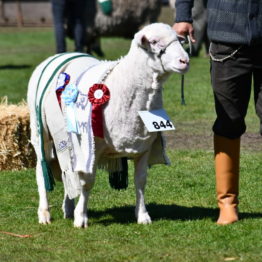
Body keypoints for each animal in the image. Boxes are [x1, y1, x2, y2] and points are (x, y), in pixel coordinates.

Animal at [27, 22, 189, 227]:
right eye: (154, 41)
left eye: (178, 39)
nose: (185, 61)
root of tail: (59, 55)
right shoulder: (90, 147)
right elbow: (87, 182)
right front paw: (81, 217)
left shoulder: (143, 147)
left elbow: (141, 181)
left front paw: (142, 215)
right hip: (41, 134)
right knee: (41, 172)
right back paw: (44, 213)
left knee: (67, 173)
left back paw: (68, 208)